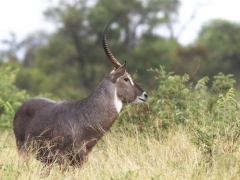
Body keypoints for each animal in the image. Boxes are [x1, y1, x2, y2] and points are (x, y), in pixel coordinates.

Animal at [14, 22, 148, 166]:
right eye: (126, 78)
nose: (145, 94)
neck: (84, 115)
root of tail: (22, 107)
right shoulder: (63, 159)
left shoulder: (81, 160)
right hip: (24, 151)